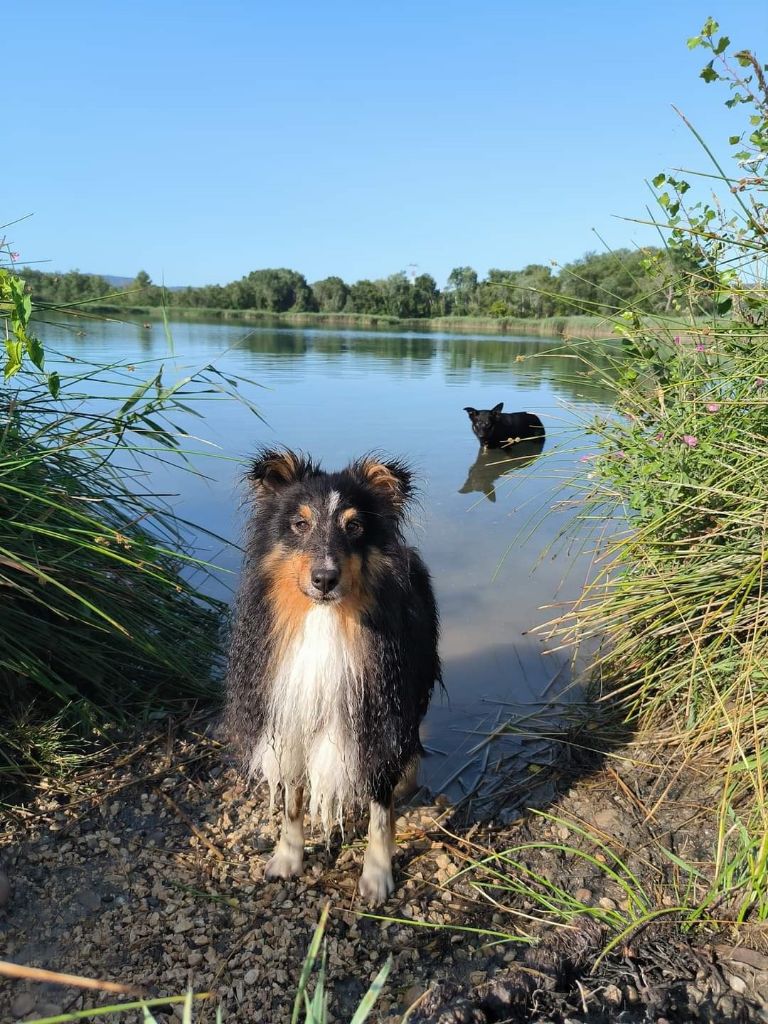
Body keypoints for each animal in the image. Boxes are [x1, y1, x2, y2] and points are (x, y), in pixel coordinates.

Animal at [225, 448, 442, 905]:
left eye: (355, 526)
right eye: (299, 524)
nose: (324, 579)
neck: (325, 618)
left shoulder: (375, 717)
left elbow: (380, 812)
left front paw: (377, 877)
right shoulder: (290, 716)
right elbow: (293, 800)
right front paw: (287, 858)